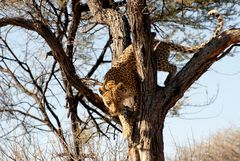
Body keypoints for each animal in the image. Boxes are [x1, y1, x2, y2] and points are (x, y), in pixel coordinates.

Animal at [99, 9, 223, 137]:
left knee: (173, 66)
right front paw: (126, 128)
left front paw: (134, 117)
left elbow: (136, 105)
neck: (113, 83)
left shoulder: (137, 89)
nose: (113, 112)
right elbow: (122, 115)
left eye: (117, 100)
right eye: (108, 102)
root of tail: (163, 41)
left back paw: (167, 80)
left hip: (158, 60)